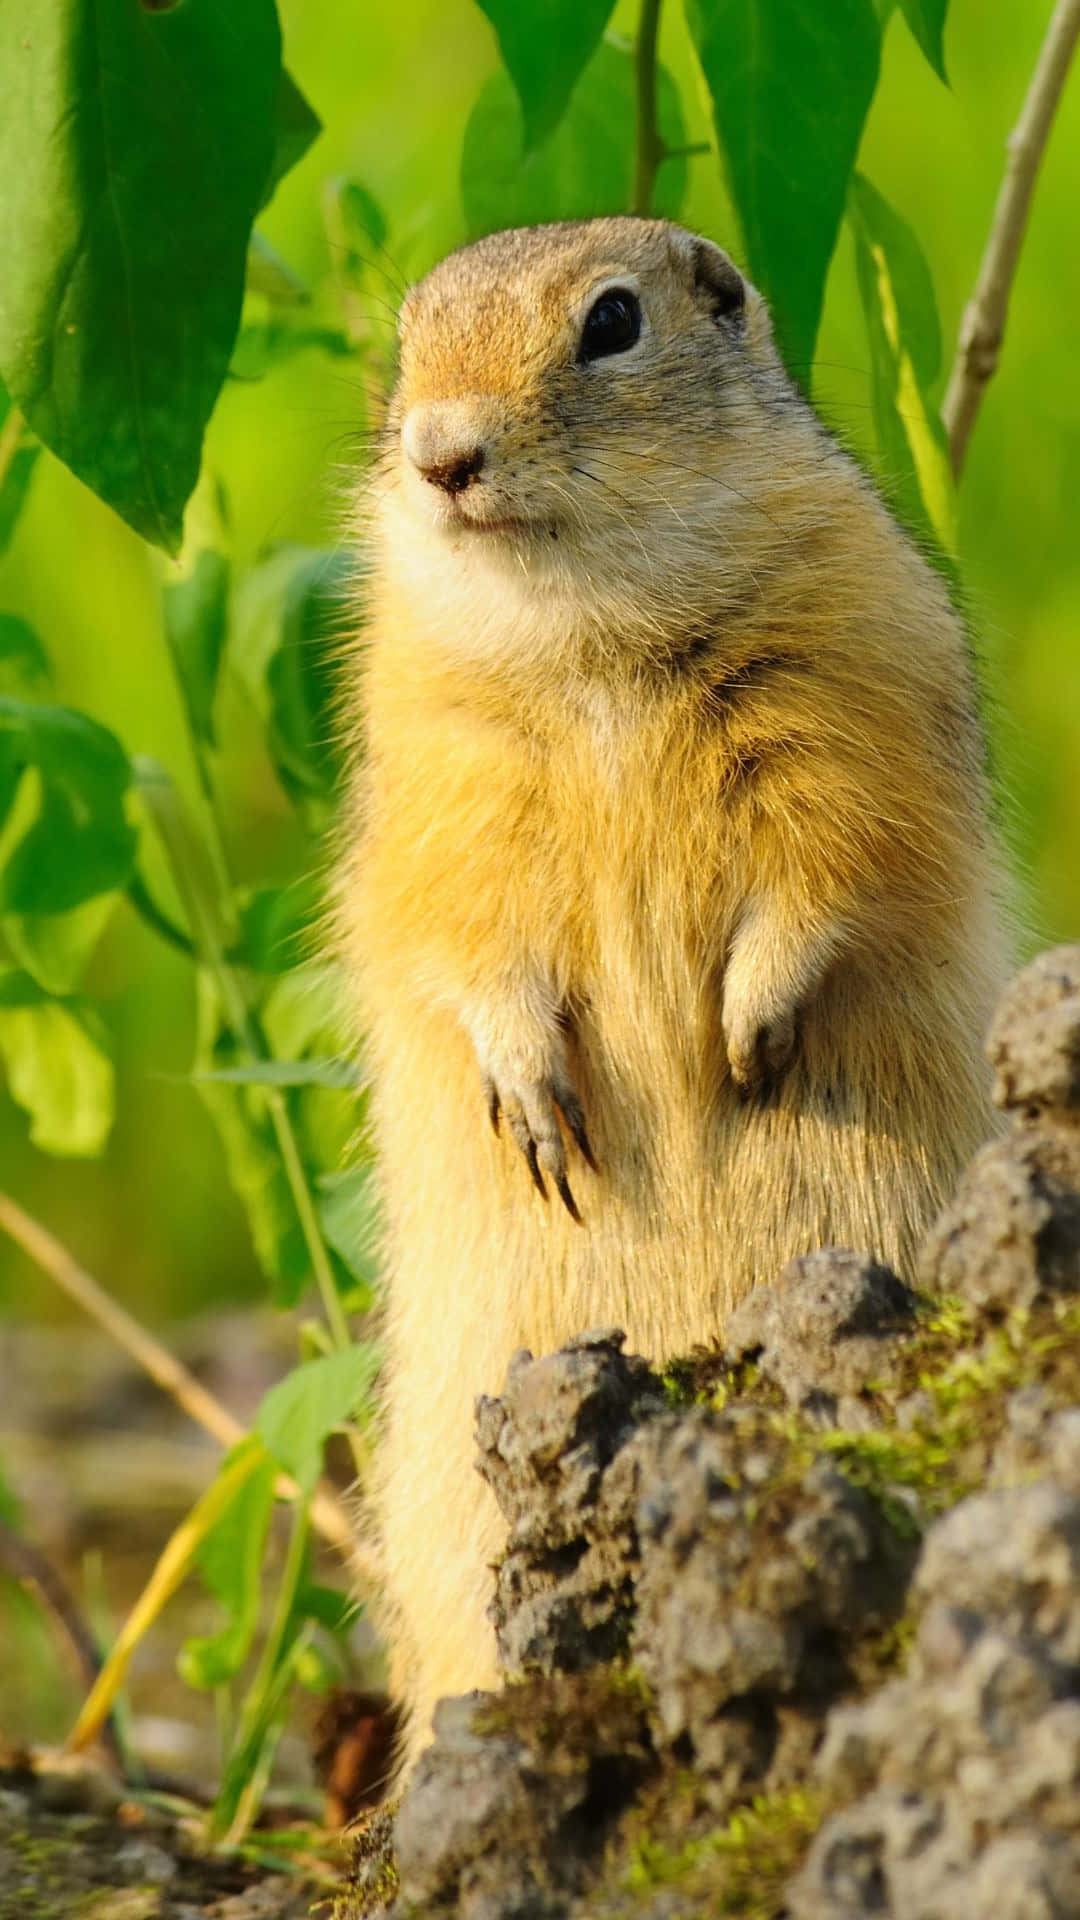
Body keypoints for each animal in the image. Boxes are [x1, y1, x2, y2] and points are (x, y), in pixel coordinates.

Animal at [336, 216, 1009, 1767]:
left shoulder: (845, 673)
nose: (439, 456)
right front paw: (537, 1107)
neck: (587, 638)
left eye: (613, 322)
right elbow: (465, 929)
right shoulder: (440, 766)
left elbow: (832, 853)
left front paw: (748, 1043)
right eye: (409, 337)